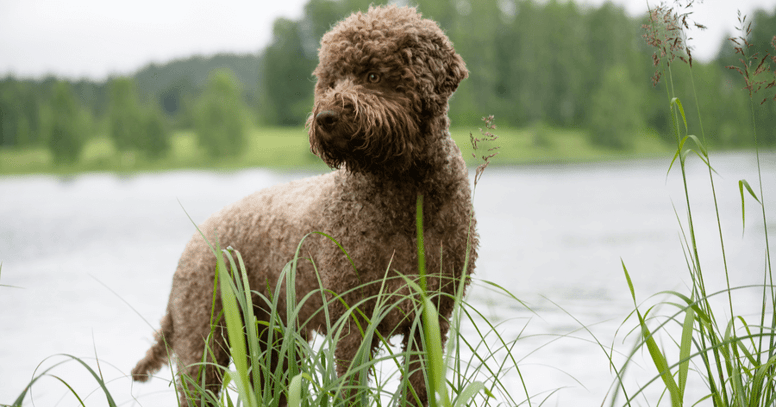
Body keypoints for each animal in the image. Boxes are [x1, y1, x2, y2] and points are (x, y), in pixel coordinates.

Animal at [130, 4, 476, 406]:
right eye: (331, 80)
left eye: (373, 74)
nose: (326, 117)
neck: (407, 200)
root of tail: (194, 240)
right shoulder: (352, 320)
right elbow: (353, 388)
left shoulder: (433, 316)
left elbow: (418, 387)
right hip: (206, 340)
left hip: (273, 343)